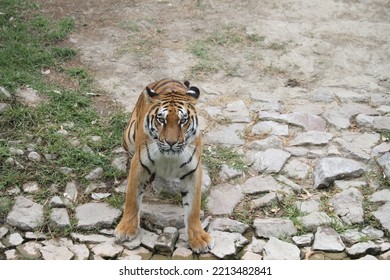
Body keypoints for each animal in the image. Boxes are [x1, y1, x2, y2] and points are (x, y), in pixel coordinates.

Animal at [114, 77, 215, 253]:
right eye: (161, 120)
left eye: (183, 121)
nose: (171, 142)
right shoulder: (139, 164)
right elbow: (132, 199)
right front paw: (126, 229)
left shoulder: (193, 171)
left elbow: (193, 208)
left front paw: (199, 238)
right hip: (129, 135)